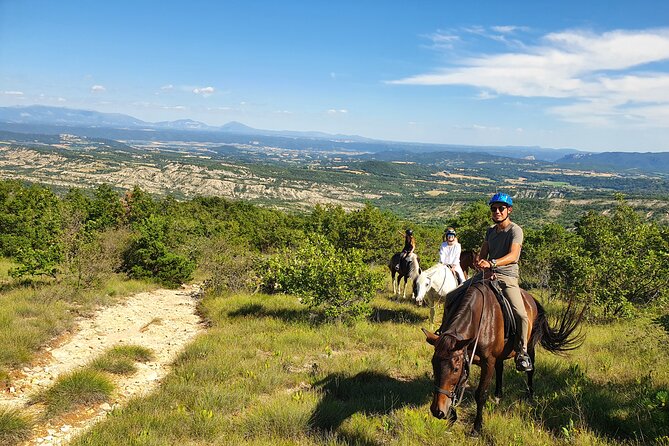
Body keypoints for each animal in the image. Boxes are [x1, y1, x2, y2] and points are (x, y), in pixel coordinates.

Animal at [422, 278, 584, 434]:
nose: (437, 411)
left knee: (530, 369)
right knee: (500, 368)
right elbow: (458, 387)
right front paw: (452, 418)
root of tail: (531, 299)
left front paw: (476, 428)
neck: (480, 320)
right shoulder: (467, 357)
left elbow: (480, 394)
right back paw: (498, 395)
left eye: (455, 369)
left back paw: (530, 394)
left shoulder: (487, 362)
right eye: (433, 364)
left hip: (530, 345)